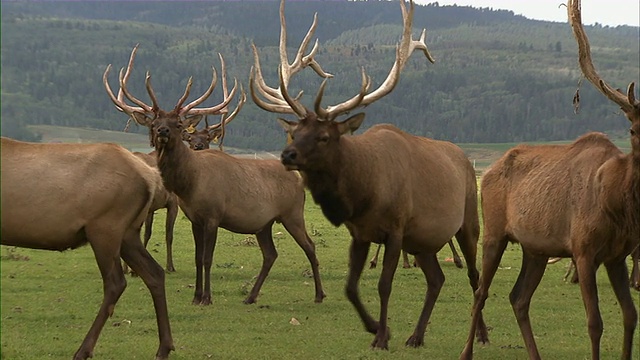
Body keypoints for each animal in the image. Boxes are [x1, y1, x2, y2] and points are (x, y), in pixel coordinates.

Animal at [0, 136, 174, 358]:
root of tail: (151, 176)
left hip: (105, 228)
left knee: (116, 283)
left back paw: (83, 350)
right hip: (128, 233)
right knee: (155, 273)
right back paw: (164, 347)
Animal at [105, 45, 324, 304]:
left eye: (178, 124)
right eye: (154, 122)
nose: (163, 131)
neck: (190, 184)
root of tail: (298, 179)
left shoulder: (213, 216)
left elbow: (208, 259)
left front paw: (207, 297)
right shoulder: (194, 219)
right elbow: (198, 258)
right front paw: (196, 296)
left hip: (293, 214)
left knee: (310, 246)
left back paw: (319, 294)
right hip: (265, 223)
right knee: (271, 254)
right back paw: (251, 296)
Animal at [250, 0, 484, 350]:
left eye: (324, 136)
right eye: (294, 133)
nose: (287, 155)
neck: (364, 194)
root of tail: (465, 160)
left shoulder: (397, 229)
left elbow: (384, 285)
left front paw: (381, 338)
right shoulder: (360, 233)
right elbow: (350, 287)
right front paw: (376, 328)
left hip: (467, 222)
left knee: (474, 275)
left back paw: (481, 334)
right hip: (424, 241)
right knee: (437, 279)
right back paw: (416, 336)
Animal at [460, 1, 640, 358]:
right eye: (632, 129)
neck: (617, 203)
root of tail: (488, 170)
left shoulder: (618, 255)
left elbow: (630, 315)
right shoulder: (583, 250)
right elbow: (595, 323)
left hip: (536, 248)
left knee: (518, 298)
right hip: (495, 232)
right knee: (480, 292)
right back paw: (466, 351)